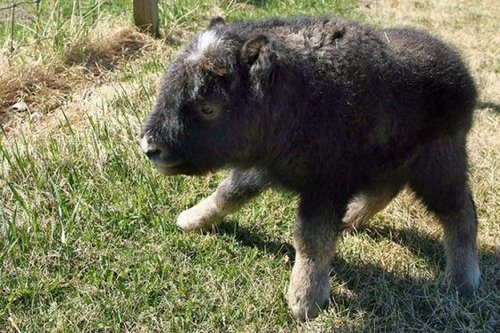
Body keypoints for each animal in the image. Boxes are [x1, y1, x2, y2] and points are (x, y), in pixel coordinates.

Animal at [141, 16, 480, 320]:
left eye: (208, 108)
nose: (149, 148)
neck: (292, 96)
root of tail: (463, 73)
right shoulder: (264, 166)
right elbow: (229, 193)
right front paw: (191, 219)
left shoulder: (324, 187)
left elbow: (311, 239)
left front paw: (304, 300)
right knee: (385, 192)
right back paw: (351, 220)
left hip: (438, 168)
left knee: (460, 210)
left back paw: (462, 280)